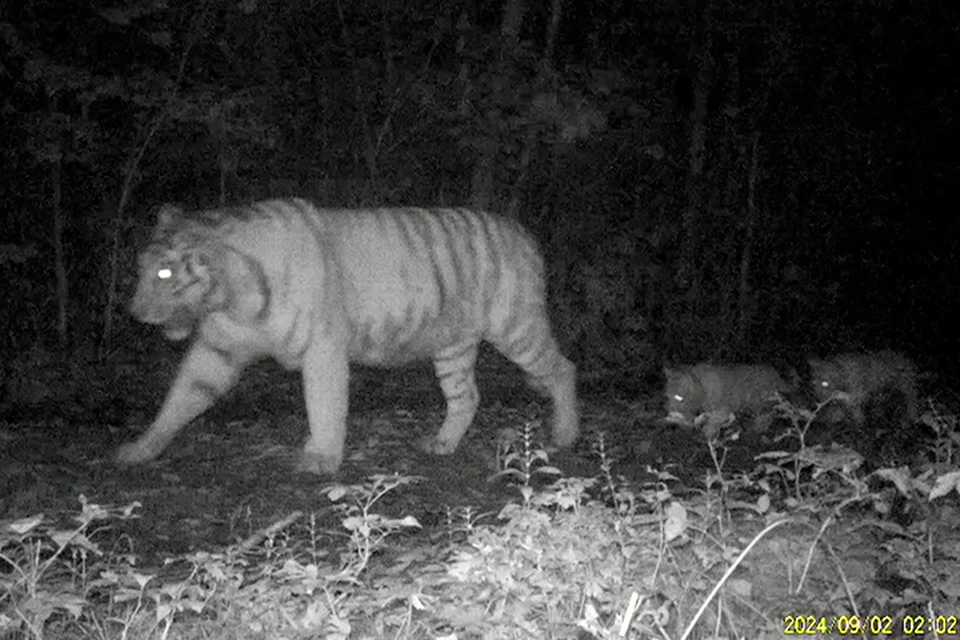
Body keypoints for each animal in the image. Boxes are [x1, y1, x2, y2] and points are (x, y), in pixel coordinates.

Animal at [112, 200, 576, 476]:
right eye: (140, 268)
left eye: (164, 273)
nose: (134, 312)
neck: (232, 298)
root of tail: (524, 233)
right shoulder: (217, 349)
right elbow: (179, 399)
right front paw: (140, 448)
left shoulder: (322, 351)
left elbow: (324, 405)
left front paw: (321, 456)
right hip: (452, 344)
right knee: (467, 396)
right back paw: (442, 443)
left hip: (516, 327)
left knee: (563, 368)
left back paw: (566, 434)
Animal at [664, 362, 792, 428]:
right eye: (667, 396)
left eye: (679, 398)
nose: (671, 413)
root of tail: (775, 373)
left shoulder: (721, 410)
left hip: (759, 402)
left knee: (766, 416)